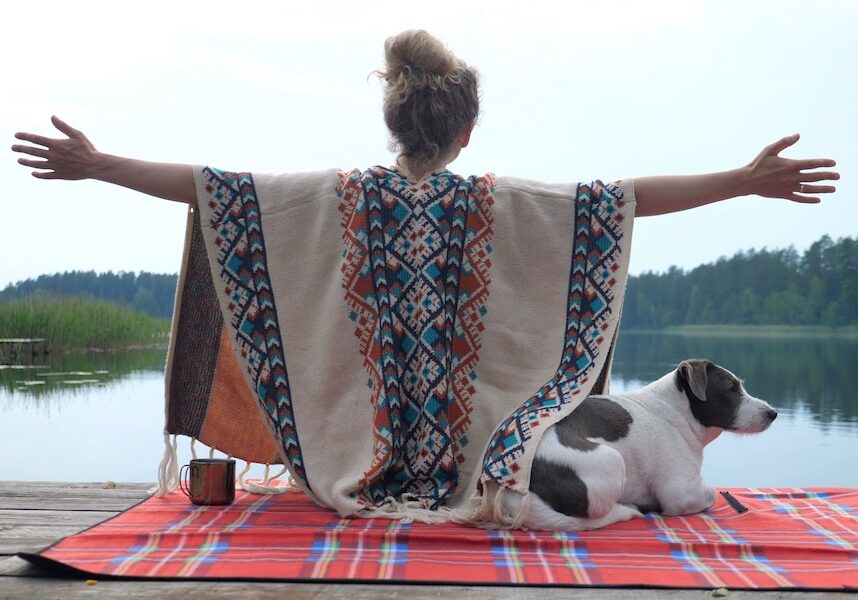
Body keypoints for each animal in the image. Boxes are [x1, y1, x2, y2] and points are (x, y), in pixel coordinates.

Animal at [508, 358, 776, 528]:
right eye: (731, 388)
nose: (772, 413)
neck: (676, 411)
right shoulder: (681, 492)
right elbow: (711, 494)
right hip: (612, 462)